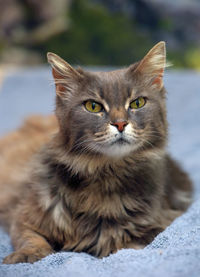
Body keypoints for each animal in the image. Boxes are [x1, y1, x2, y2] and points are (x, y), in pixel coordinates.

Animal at [0, 41, 193, 264]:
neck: (106, 172)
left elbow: (128, 242)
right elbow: (32, 239)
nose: (120, 123)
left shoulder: (160, 223)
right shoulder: (24, 215)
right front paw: (25, 256)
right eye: (93, 106)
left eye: (137, 103)